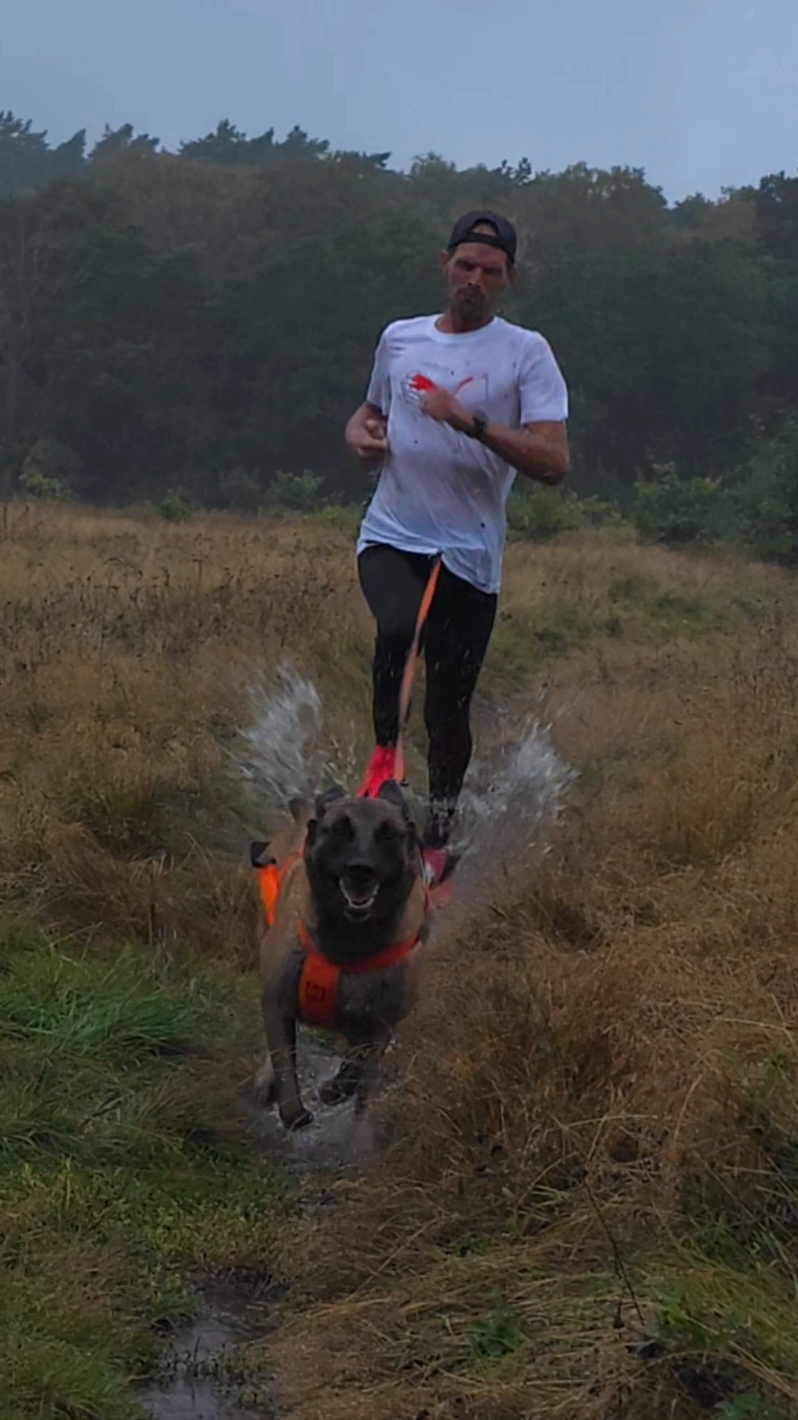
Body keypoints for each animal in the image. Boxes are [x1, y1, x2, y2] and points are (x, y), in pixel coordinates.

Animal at [252, 778, 428, 1130]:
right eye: (340, 829)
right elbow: (283, 1061)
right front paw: (293, 1108)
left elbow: (357, 1068)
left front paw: (334, 1090)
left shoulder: (380, 1027)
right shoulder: (277, 1001)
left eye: (389, 833)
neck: (347, 946)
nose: (361, 869)